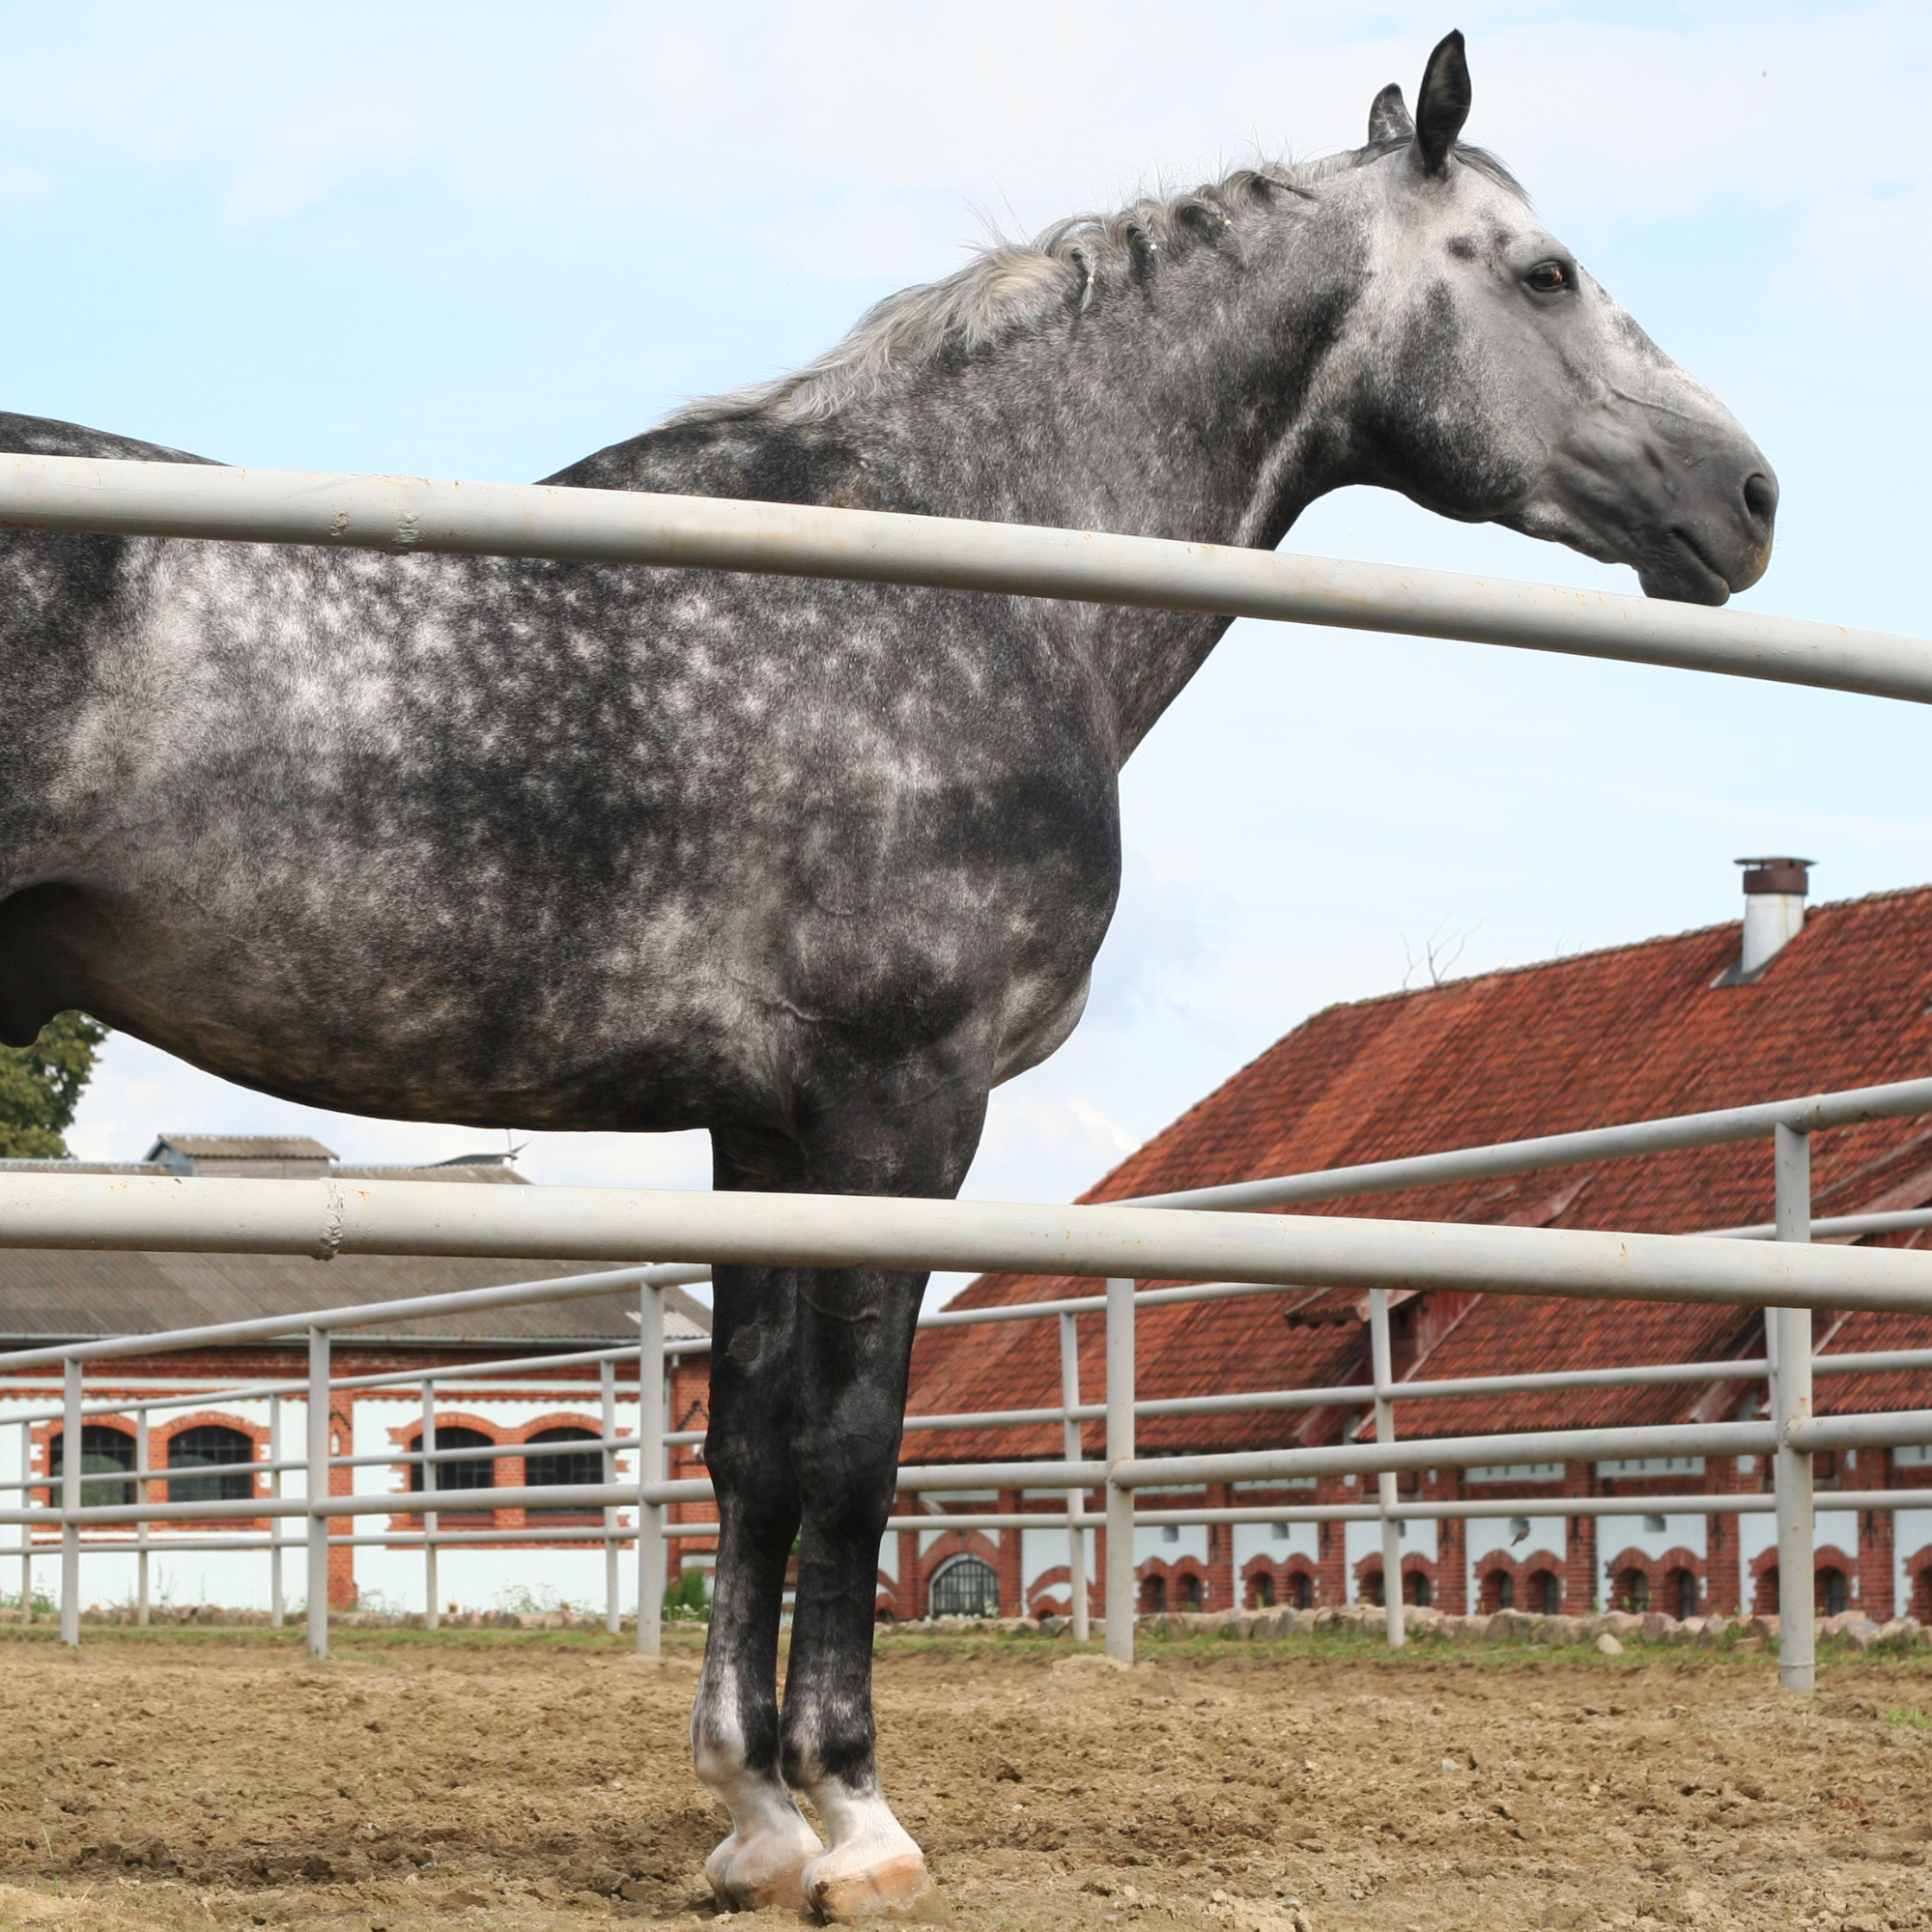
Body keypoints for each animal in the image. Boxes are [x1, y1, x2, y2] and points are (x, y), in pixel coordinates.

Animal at [0, 31, 1772, 1920]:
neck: (962, 573)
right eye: (1547, 272)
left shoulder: (767, 1126)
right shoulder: (902, 1104)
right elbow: (856, 1447)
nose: (1748, 497)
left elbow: (753, 1449)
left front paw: (753, 1814)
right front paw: (855, 1814)